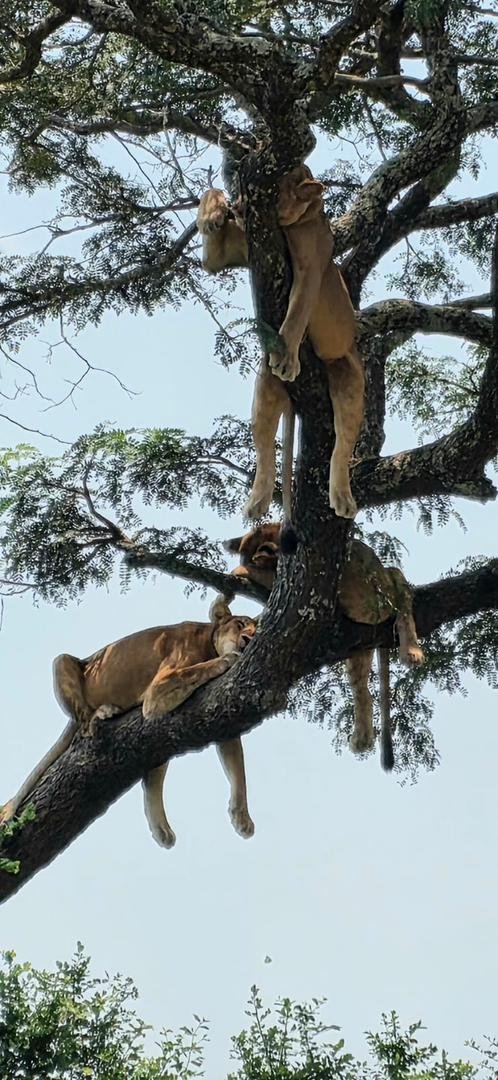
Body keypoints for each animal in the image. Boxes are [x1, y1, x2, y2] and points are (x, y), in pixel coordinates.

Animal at [0, 597, 257, 847]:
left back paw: (161, 830)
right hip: (63, 662)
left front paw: (242, 817)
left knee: (152, 776)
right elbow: (198, 669)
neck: (209, 642)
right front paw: (228, 658)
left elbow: (238, 765)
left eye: (256, 629)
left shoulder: (219, 713)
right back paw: (104, 712)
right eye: (240, 624)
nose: (248, 639)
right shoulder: (157, 691)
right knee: (84, 723)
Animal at [196, 166, 364, 522]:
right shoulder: (224, 257)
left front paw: (288, 358)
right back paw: (257, 502)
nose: (239, 207)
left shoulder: (310, 269)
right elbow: (210, 192)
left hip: (348, 375)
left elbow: (297, 313)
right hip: (264, 390)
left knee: (342, 445)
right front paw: (212, 215)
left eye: (274, 194)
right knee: (265, 450)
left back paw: (341, 497)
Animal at [224, 524, 425, 770]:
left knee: (403, 596)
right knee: (363, 690)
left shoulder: (290, 581)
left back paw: (412, 652)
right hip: (359, 645)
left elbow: (261, 574)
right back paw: (362, 739)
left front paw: (238, 570)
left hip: (386, 588)